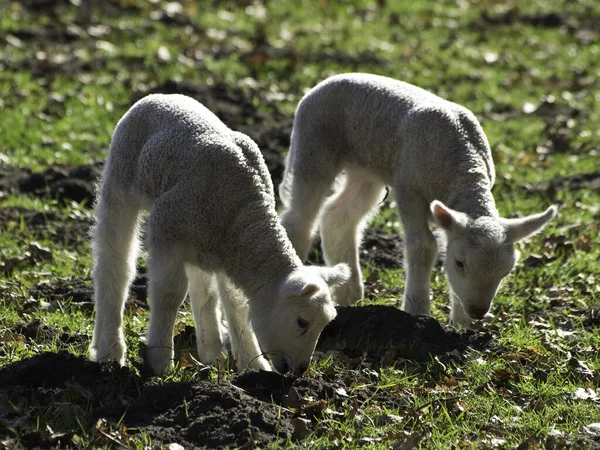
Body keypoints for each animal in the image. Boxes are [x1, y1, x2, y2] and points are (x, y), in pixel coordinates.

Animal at [89, 93, 352, 374]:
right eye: (302, 322)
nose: (301, 370)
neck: (243, 209)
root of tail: (161, 96)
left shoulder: (230, 249)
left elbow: (236, 302)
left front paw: (253, 363)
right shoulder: (165, 230)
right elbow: (170, 293)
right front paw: (159, 361)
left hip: (198, 244)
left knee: (202, 289)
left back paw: (211, 353)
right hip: (120, 180)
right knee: (114, 265)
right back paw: (110, 350)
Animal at [278, 73, 556, 326]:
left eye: (506, 272)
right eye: (459, 263)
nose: (478, 311)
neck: (462, 165)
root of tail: (326, 81)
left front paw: (461, 325)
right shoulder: (408, 188)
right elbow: (423, 245)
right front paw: (418, 312)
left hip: (366, 169)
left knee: (338, 216)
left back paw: (349, 294)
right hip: (314, 147)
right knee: (300, 219)